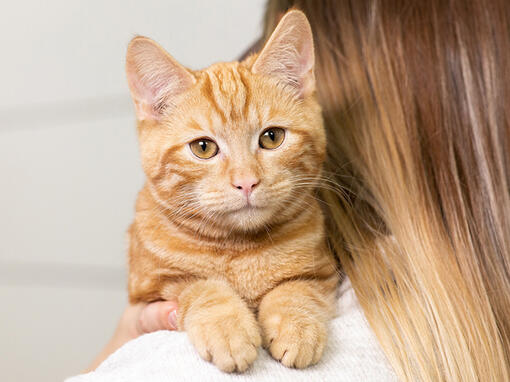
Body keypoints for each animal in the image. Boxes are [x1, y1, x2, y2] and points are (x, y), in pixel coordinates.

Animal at [124, 10, 338, 372]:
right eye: (204, 147)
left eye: (271, 138)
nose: (246, 182)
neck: (239, 249)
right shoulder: (153, 287)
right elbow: (202, 286)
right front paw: (227, 327)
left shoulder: (321, 271)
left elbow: (296, 289)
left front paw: (297, 325)